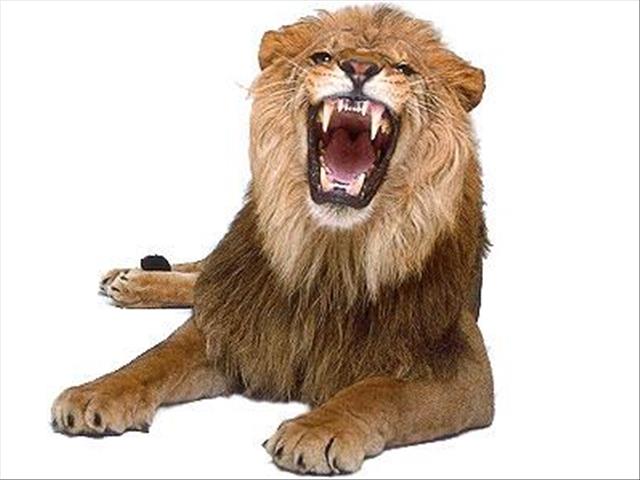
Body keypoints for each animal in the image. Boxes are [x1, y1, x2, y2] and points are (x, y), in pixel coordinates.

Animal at [51, 5, 494, 475]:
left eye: (405, 68)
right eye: (323, 56)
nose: (359, 67)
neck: (333, 250)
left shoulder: (460, 361)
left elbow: (377, 392)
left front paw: (315, 430)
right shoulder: (236, 316)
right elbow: (152, 360)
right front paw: (93, 394)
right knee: (203, 273)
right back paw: (132, 279)